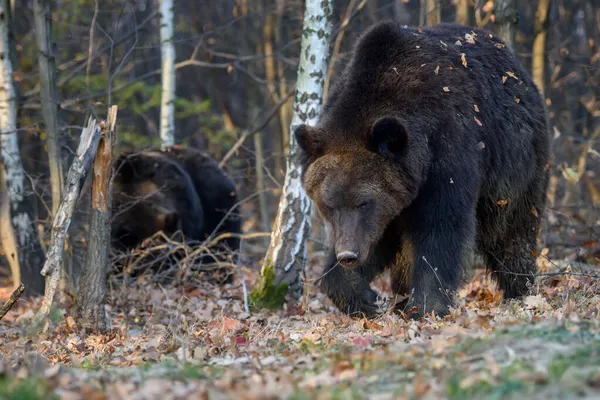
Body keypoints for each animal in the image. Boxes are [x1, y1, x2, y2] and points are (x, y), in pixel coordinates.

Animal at [294, 22, 548, 318]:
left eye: (364, 202)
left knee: (511, 231)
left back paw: (520, 290)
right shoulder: (393, 203)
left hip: (516, 166)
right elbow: (377, 243)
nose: (348, 255)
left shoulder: (448, 153)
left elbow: (441, 229)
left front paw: (428, 305)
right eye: (329, 205)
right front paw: (364, 298)